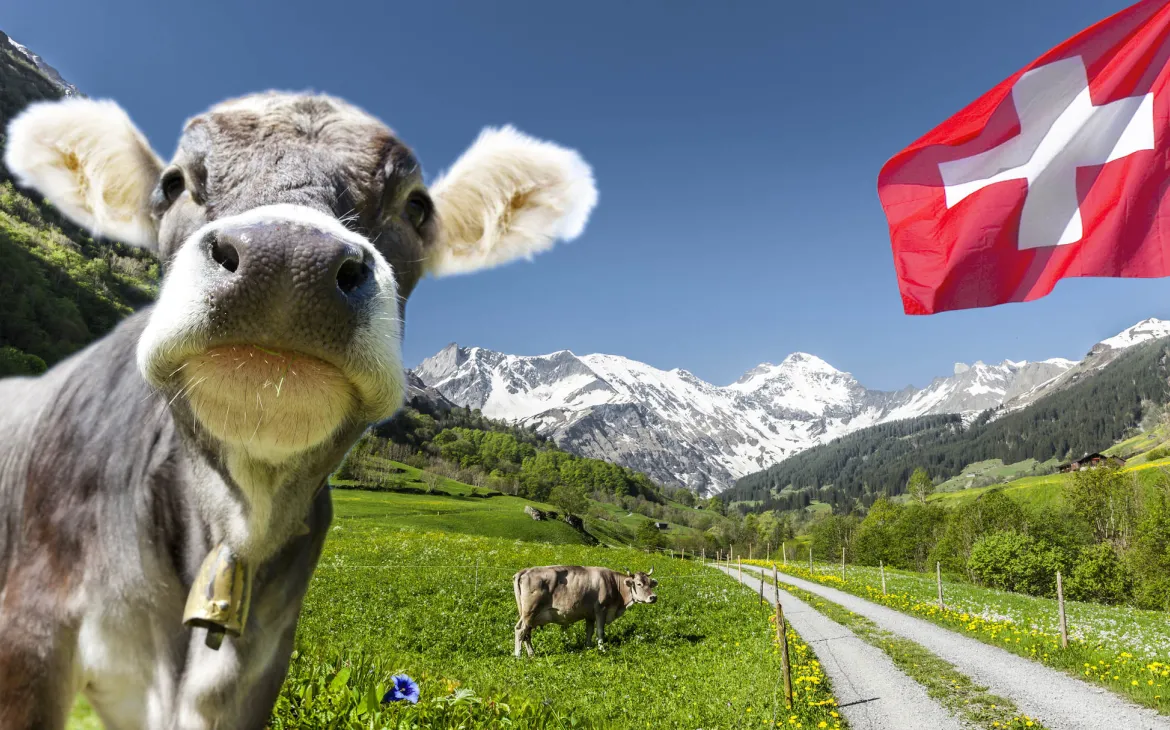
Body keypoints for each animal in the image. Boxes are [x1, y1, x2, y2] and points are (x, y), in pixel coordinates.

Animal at [0, 92, 596, 729]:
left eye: (416, 205)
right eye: (172, 182)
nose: (287, 260)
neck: (241, 522)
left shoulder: (259, 667)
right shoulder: (29, 634)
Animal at [513, 566, 657, 657]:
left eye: (650, 583)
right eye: (638, 584)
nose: (653, 597)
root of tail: (526, 570)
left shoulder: (590, 615)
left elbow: (589, 631)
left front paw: (588, 647)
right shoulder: (601, 610)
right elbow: (600, 631)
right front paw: (602, 649)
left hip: (527, 615)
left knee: (526, 633)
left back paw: (532, 654)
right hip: (530, 611)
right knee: (520, 630)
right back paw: (518, 655)